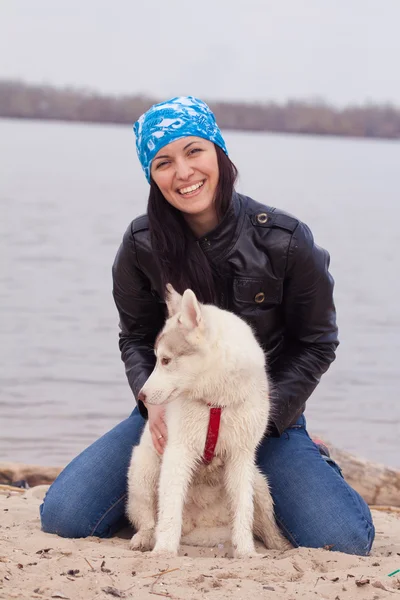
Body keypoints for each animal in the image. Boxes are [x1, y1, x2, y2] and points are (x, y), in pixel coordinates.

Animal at [126, 284, 286, 556]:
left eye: (166, 360)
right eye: (157, 359)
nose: (142, 396)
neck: (216, 402)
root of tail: (199, 525)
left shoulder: (242, 456)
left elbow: (243, 511)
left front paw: (245, 553)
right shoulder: (178, 451)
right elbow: (169, 511)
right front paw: (164, 551)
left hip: (259, 484)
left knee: (264, 525)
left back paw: (278, 545)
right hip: (143, 472)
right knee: (148, 519)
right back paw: (145, 538)